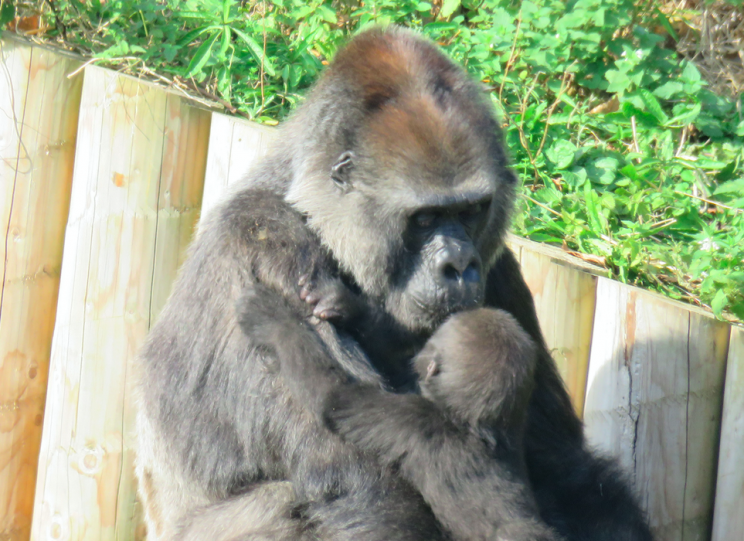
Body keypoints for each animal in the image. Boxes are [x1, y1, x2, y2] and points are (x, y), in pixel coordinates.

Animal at [135, 25, 652, 540]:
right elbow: (365, 482)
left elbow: (563, 468)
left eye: (471, 210)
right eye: (424, 219)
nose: (459, 264)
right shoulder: (263, 238)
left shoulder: (500, 268)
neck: (304, 205)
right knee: (281, 502)